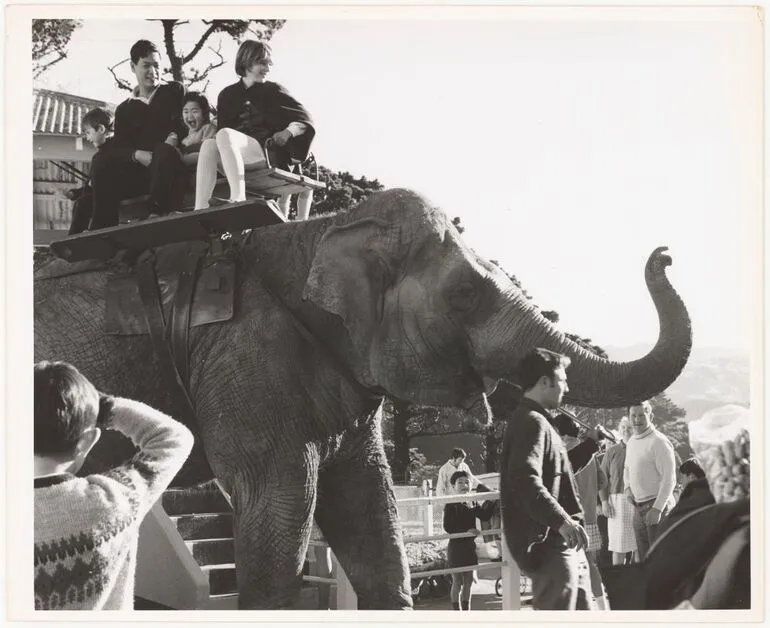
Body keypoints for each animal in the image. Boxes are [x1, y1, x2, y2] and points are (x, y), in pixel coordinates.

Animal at [34, 186, 688, 608]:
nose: (664, 254)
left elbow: (370, 509)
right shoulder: (245, 355)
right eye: (466, 292)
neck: (321, 229)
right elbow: (279, 509)